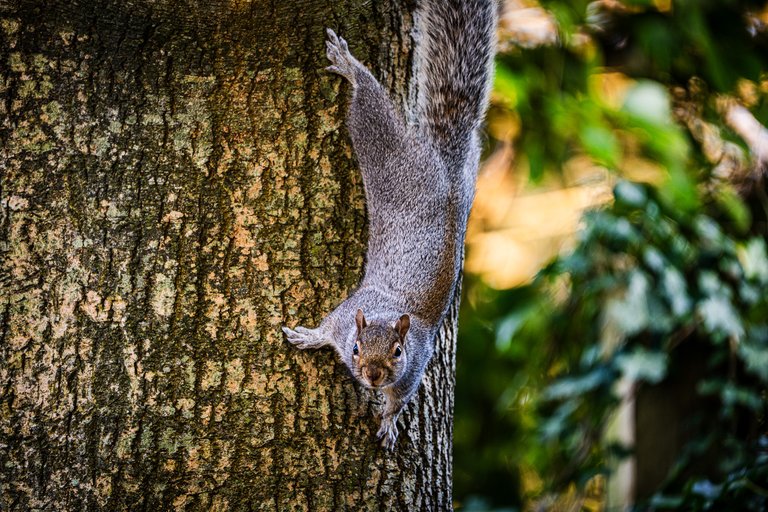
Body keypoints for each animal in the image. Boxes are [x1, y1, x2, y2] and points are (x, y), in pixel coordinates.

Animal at [282, 0, 498, 448]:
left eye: (397, 352)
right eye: (357, 348)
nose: (373, 375)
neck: (386, 312)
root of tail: (447, 166)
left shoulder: (415, 367)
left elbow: (401, 398)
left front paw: (389, 421)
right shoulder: (345, 317)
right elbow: (326, 327)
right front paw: (308, 336)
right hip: (395, 154)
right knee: (371, 106)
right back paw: (350, 66)